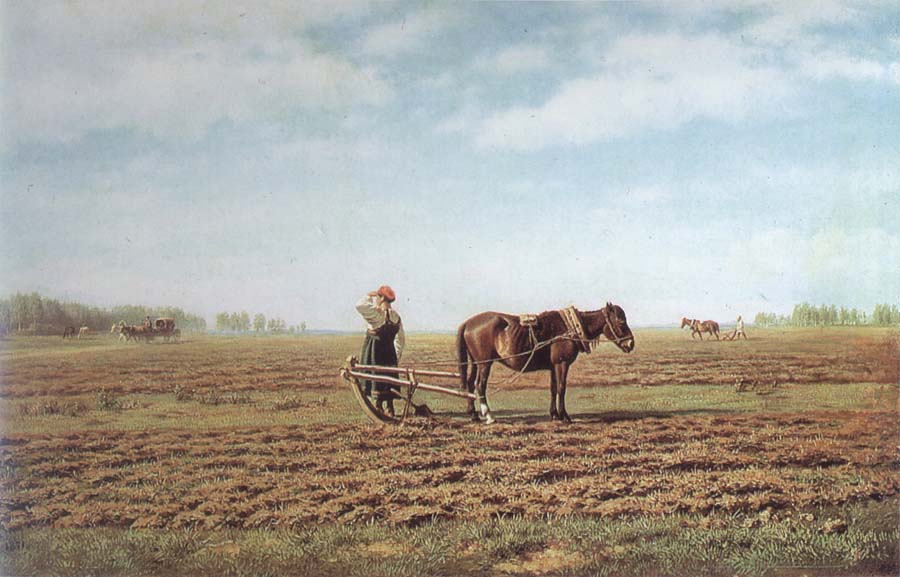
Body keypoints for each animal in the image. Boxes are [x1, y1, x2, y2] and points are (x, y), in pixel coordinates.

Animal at [458, 302, 632, 424]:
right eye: (621, 321)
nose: (631, 343)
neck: (570, 329)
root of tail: (468, 323)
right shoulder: (562, 364)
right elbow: (561, 387)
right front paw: (564, 416)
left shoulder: (554, 366)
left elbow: (553, 388)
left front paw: (554, 414)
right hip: (484, 364)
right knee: (480, 385)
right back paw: (489, 415)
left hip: (476, 362)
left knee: (470, 383)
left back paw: (473, 415)